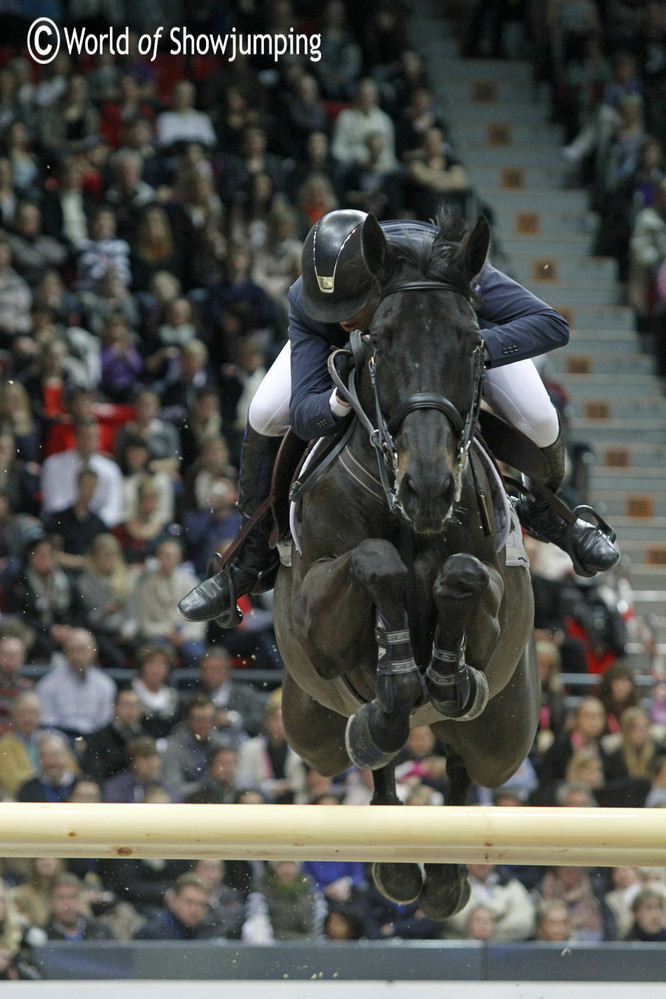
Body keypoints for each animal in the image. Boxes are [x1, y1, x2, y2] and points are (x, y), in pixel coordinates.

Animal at [272, 211, 536, 920]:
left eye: (473, 345)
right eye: (381, 344)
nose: (428, 487)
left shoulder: (492, 599)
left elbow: (462, 575)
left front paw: (445, 671)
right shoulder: (310, 616)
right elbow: (376, 562)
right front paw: (395, 676)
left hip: (507, 737)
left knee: (464, 762)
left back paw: (441, 878)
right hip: (308, 729)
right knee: (377, 760)